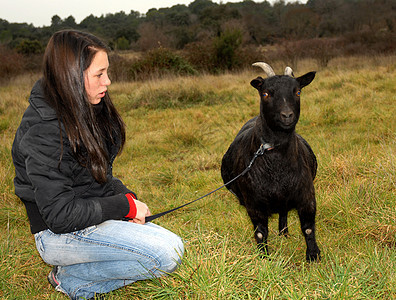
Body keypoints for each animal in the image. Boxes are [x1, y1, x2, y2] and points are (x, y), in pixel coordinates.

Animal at [221, 62, 320, 260]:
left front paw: (313, 255)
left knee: (283, 212)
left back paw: (284, 233)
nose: (287, 115)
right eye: (266, 93)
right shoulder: (254, 203)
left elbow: (307, 229)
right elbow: (260, 232)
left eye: (298, 92)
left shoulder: (306, 195)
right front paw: (264, 257)